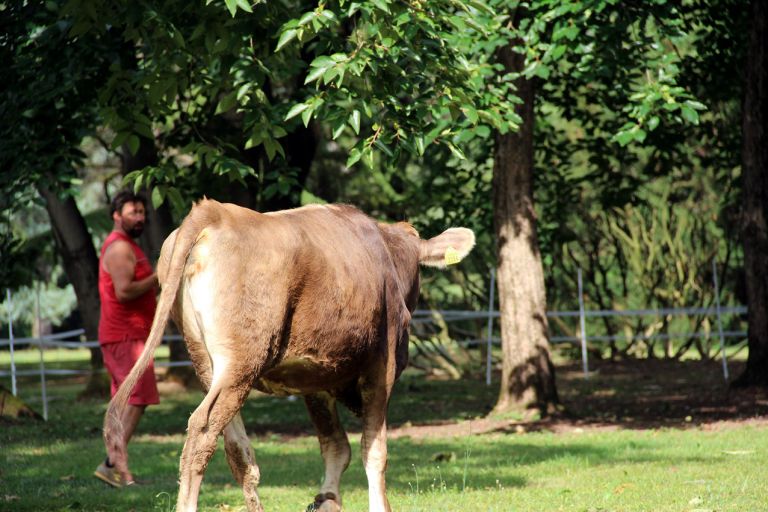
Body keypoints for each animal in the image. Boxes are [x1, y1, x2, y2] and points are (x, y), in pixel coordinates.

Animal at [102, 199, 474, 512]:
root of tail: (216, 211)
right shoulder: (381, 367)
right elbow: (374, 449)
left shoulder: (314, 377)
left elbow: (337, 446)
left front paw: (327, 500)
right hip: (241, 363)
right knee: (202, 431)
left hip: (207, 363)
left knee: (237, 451)